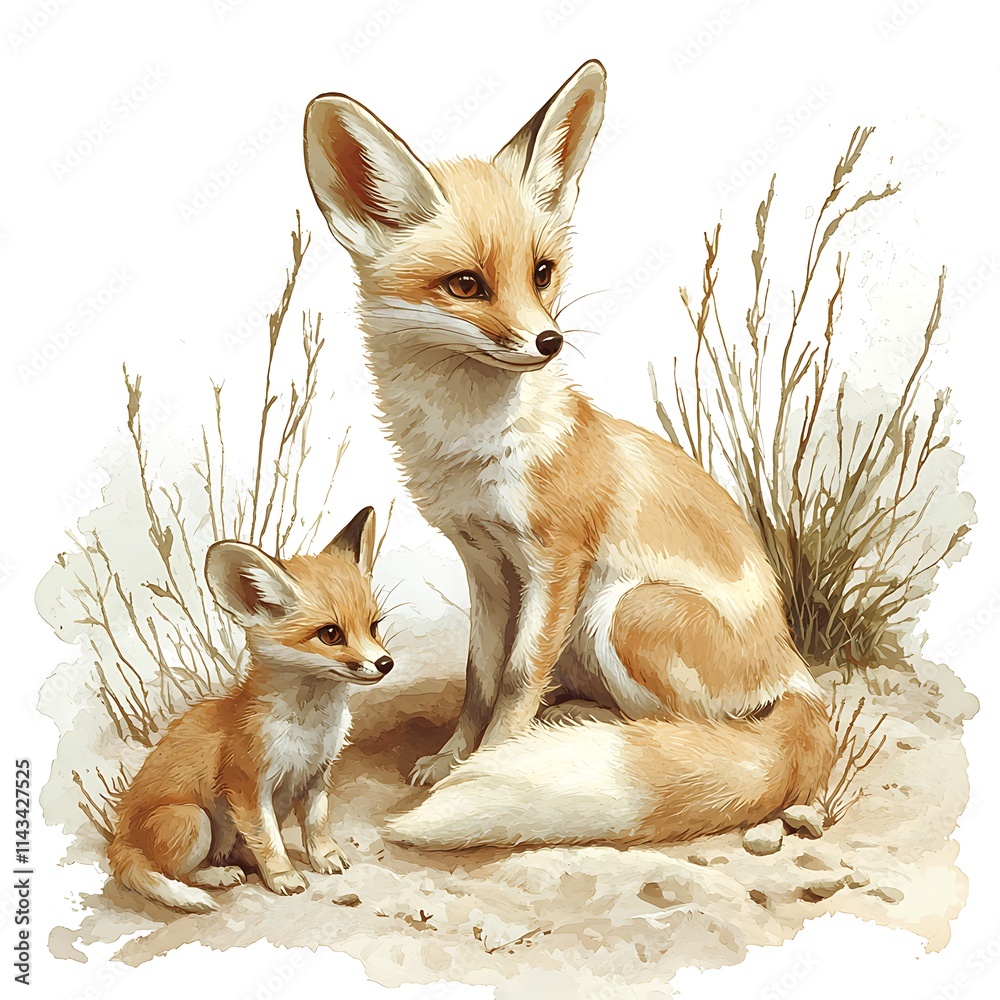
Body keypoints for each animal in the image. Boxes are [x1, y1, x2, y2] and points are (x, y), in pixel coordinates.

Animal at [107, 507, 394, 911]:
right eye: (330, 634)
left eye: (373, 626)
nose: (385, 663)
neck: (307, 728)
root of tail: (118, 841)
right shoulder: (247, 789)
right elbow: (270, 842)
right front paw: (285, 876)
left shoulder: (317, 775)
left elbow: (317, 825)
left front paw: (323, 857)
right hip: (194, 820)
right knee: (175, 874)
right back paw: (217, 876)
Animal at [302, 60, 835, 849]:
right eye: (467, 284)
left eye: (543, 272)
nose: (549, 341)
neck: (476, 450)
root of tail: (796, 668)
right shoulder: (485, 565)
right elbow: (480, 677)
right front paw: (454, 758)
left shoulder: (556, 562)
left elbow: (519, 677)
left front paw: (485, 766)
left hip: (625, 609)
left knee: (695, 732)